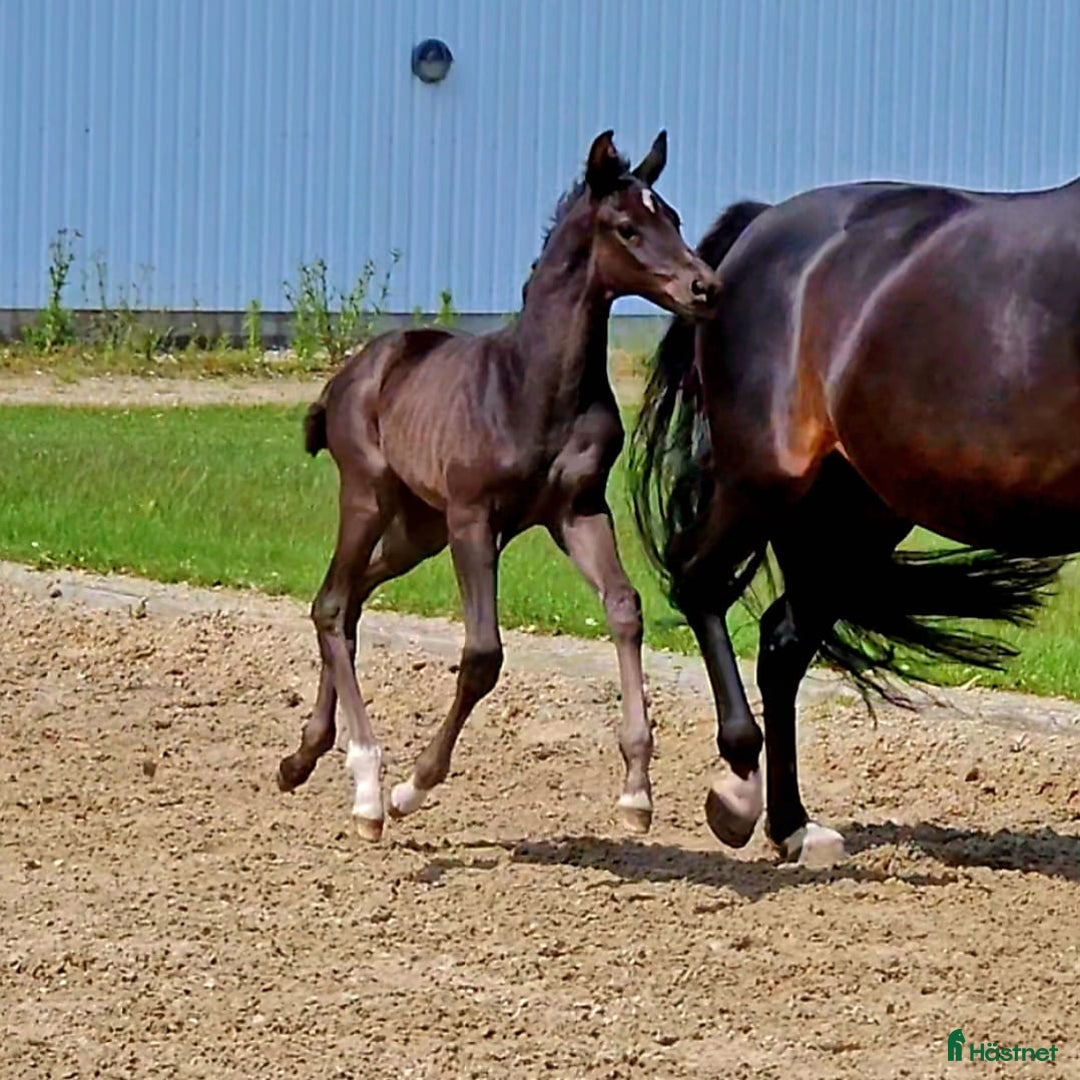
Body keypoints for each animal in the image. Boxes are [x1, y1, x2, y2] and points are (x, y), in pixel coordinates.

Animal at [277, 130, 721, 840]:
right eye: (627, 227)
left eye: (674, 219)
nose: (706, 287)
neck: (534, 387)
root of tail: (350, 372)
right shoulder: (474, 520)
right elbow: (484, 653)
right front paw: (412, 787)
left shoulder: (578, 512)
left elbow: (624, 609)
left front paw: (636, 790)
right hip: (370, 498)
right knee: (331, 604)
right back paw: (368, 786)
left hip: (417, 529)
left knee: (349, 602)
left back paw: (305, 756)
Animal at [630, 176, 1076, 866]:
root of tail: (758, 227)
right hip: (766, 480)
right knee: (697, 580)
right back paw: (736, 790)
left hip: (851, 513)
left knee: (781, 642)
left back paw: (793, 827)